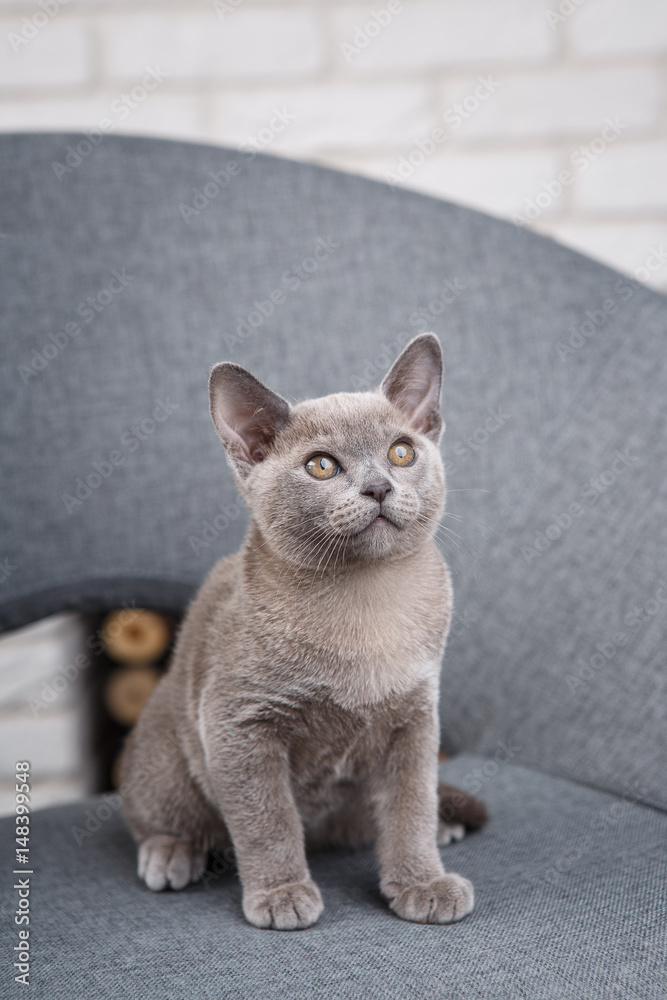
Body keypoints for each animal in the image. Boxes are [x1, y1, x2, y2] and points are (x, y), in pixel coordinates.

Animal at [120, 336, 486, 928]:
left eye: (401, 452)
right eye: (321, 466)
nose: (378, 487)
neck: (367, 604)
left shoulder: (413, 721)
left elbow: (410, 809)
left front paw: (422, 883)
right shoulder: (240, 724)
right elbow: (268, 821)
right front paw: (281, 895)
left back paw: (444, 826)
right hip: (169, 757)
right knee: (158, 815)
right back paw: (171, 855)